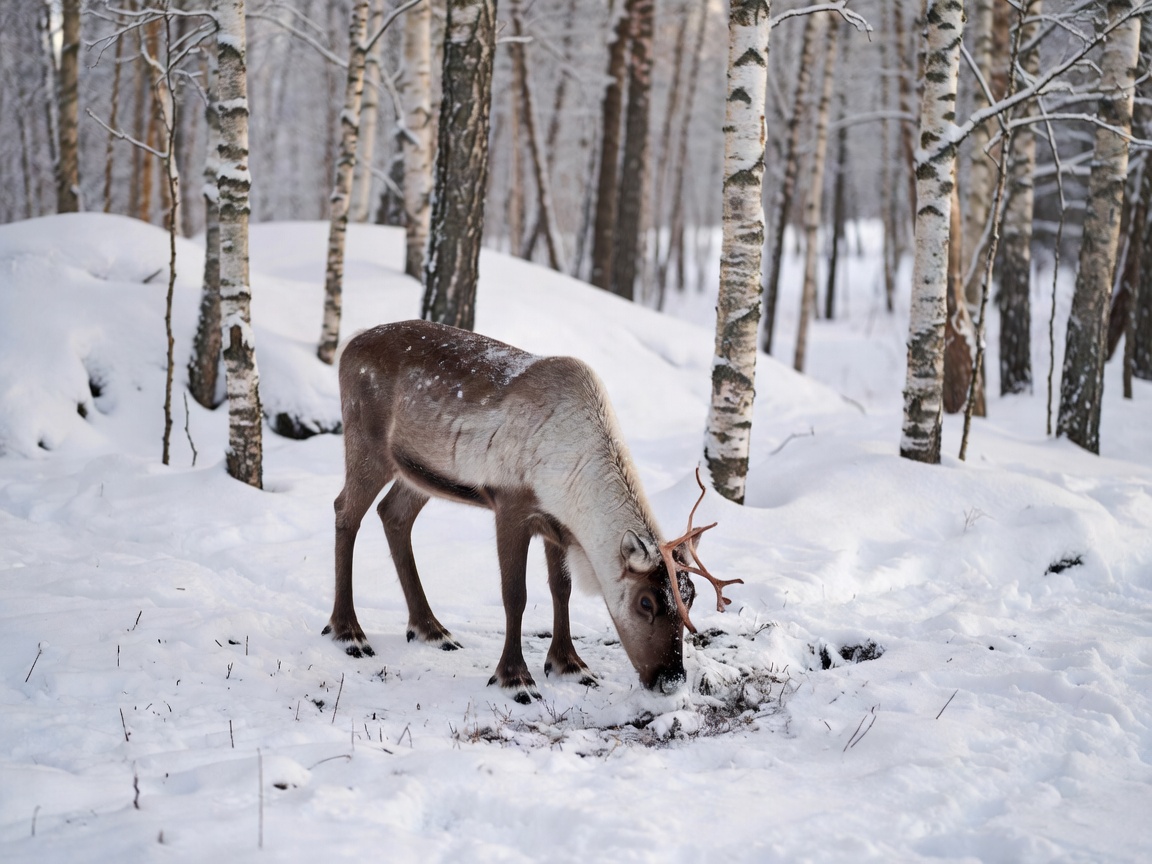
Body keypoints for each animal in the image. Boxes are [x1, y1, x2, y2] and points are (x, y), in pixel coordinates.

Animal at [323, 319, 741, 703]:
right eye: (645, 602)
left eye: (690, 596)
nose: (670, 680)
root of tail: (348, 346)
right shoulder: (511, 506)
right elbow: (516, 595)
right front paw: (515, 678)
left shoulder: (557, 526)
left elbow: (562, 590)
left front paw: (569, 665)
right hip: (367, 444)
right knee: (345, 510)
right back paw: (348, 632)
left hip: (416, 473)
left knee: (393, 514)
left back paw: (430, 629)